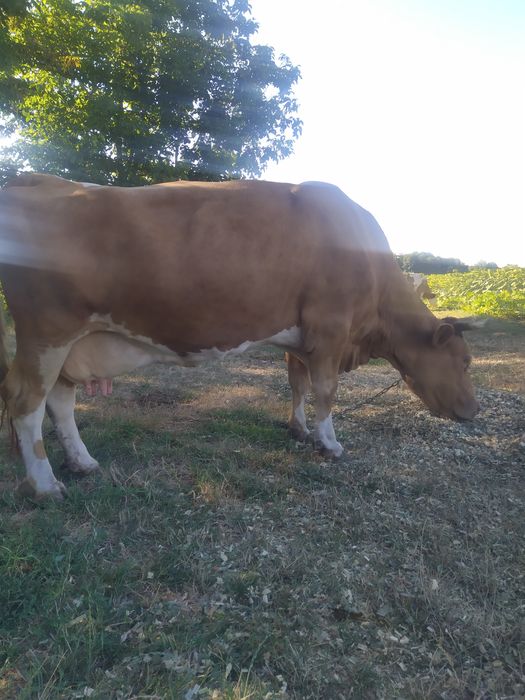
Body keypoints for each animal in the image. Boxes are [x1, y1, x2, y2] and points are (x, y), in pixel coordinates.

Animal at [0, 174, 479, 500]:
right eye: (465, 360)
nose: (474, 411)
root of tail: (37, 179)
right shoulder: (330, 329)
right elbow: (326, 391)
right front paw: (329, 443)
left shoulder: (300, 340)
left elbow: (297, 385)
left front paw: (298, 429)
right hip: (47, 333)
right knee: (26, 401)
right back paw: (45, 484)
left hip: (71, 344)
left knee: (60, 401)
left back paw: (82, 462)